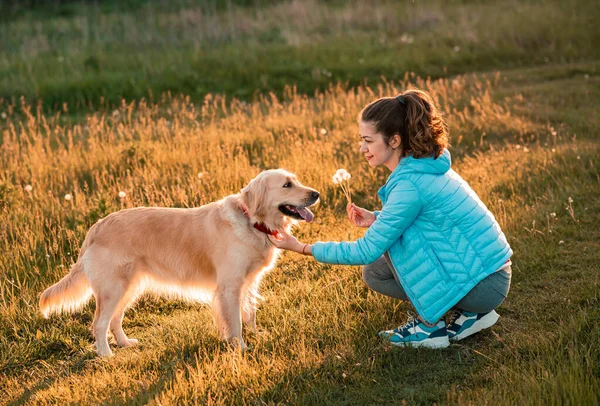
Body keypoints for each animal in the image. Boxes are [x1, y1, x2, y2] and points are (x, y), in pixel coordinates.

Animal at [38, 170, 318, 356]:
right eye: (286, 185)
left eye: (295, 180)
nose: (316, 194)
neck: (252, 221)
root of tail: (95, 227)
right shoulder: (229, 287)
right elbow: (236, 323)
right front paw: (240, 346)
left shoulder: (248, 283)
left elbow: (250, 315)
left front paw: (257, 336)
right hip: (113, 289)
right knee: (99, 323)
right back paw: (106, 354)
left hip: (130, 286)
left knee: (115, 320)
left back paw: (125, 343)